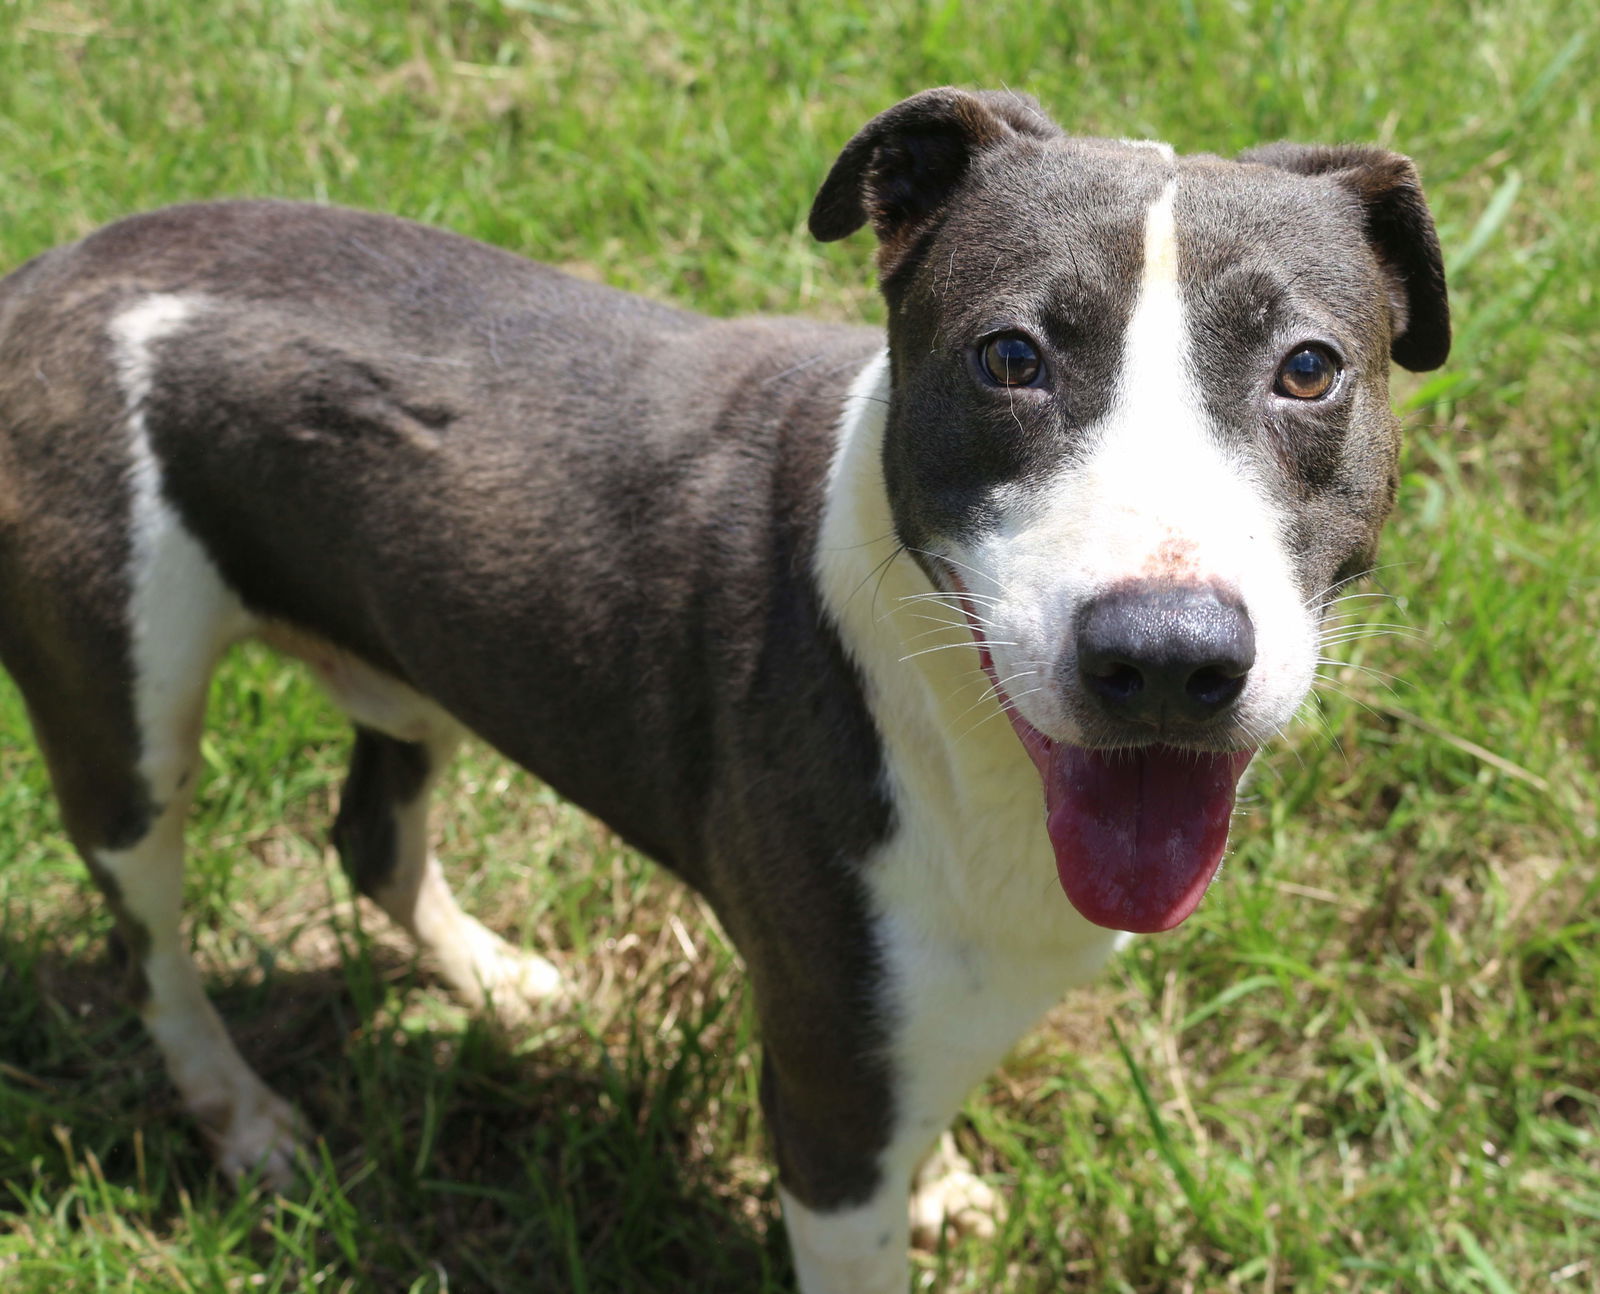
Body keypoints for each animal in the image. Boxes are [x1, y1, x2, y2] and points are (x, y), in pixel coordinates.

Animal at [0, 85, 1446, 1286]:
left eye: (1308, 366)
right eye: (1010, 356)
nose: (1162, 655)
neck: (953, 719)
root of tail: (47, 270)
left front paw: (946, 1181)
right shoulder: (824, 1102)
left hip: (403, 651)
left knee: (374, 836)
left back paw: (498, 982)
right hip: (123, 716)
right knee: (151, 938)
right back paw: (244, 1117)